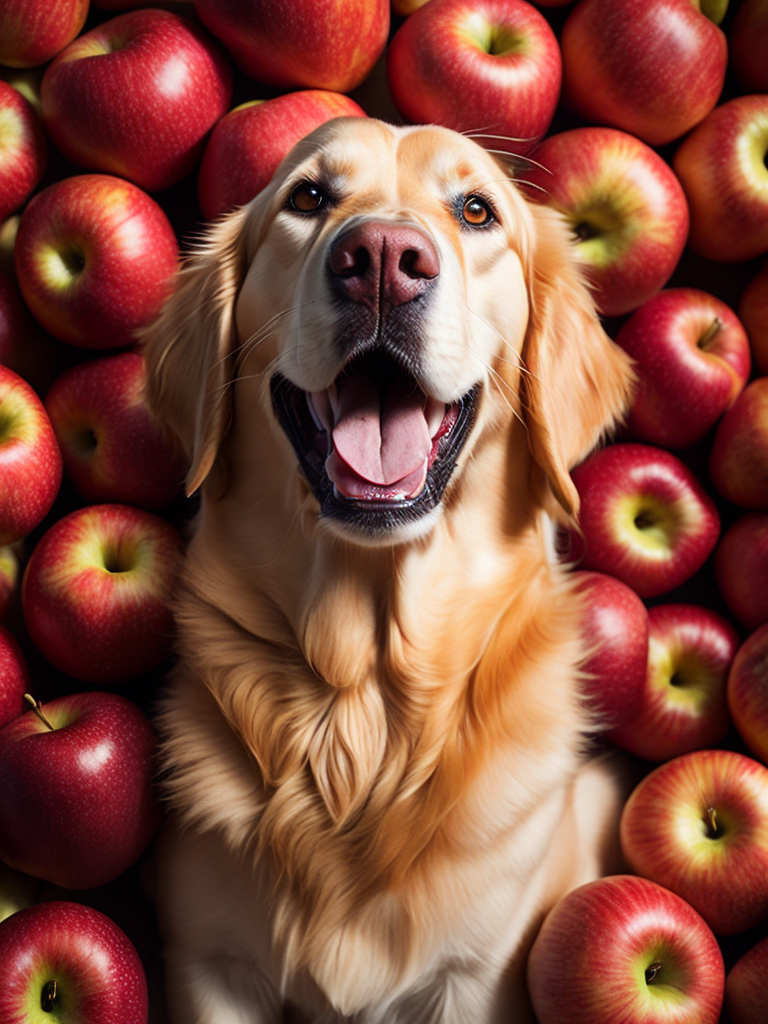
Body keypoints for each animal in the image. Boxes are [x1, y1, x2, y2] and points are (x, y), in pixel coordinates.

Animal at [144, 116, 638, 1019]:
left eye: (476, 210)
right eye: (308, 198)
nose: (381, 257)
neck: (363, 702)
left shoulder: (476, 976)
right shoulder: (210, 962)